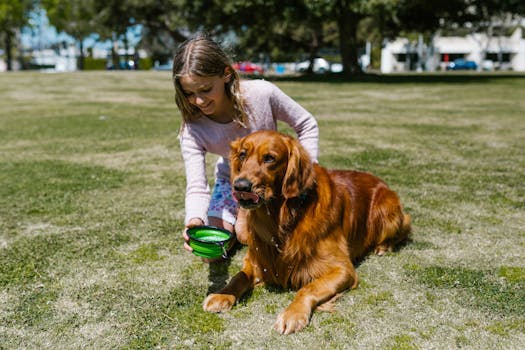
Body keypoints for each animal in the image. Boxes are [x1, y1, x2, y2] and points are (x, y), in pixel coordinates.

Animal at [201, 131, 410, 334]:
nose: (240, 186)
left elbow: (308, 288)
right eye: (242, 155)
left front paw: (293, 313)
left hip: (387, 210)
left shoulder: (343, 269)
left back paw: (383, 246)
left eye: (269, 158)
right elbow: (239, 276)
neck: (282, 219)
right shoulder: (259, 259)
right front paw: (222, 294)